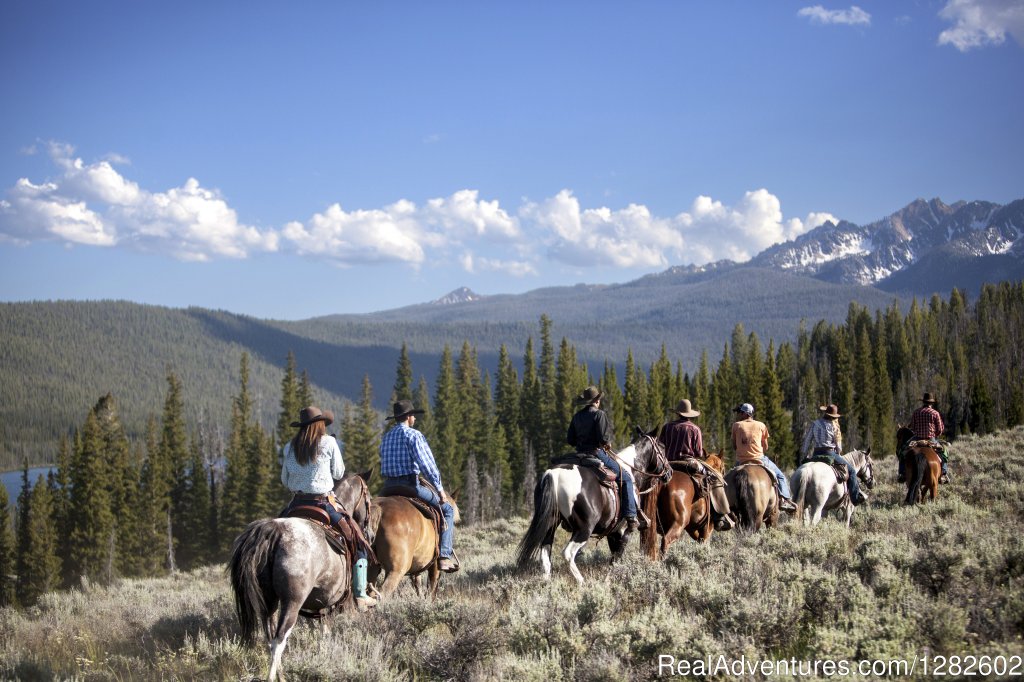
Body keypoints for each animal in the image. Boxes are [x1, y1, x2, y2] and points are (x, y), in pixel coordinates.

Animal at [230, 466, 374, 679]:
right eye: (369, 499)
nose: (370, 534)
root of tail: (274, 532)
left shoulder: (320, 606)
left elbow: (322, 632)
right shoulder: (327, 605)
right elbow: (325, 633)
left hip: (269, 602)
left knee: (270, 638)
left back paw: (281, 675)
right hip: (292, 602)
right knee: (279, 639)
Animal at [512, 428, 671, 581]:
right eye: (662, 447)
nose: (669, 472)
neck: (631, 470)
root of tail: (554, 475)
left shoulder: (613, 531)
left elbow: (614, 556)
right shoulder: (624, 529)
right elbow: (617, 556)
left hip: (551, 523)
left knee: (545, 554)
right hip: (584, 529)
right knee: (568, 553)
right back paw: (581, 581)